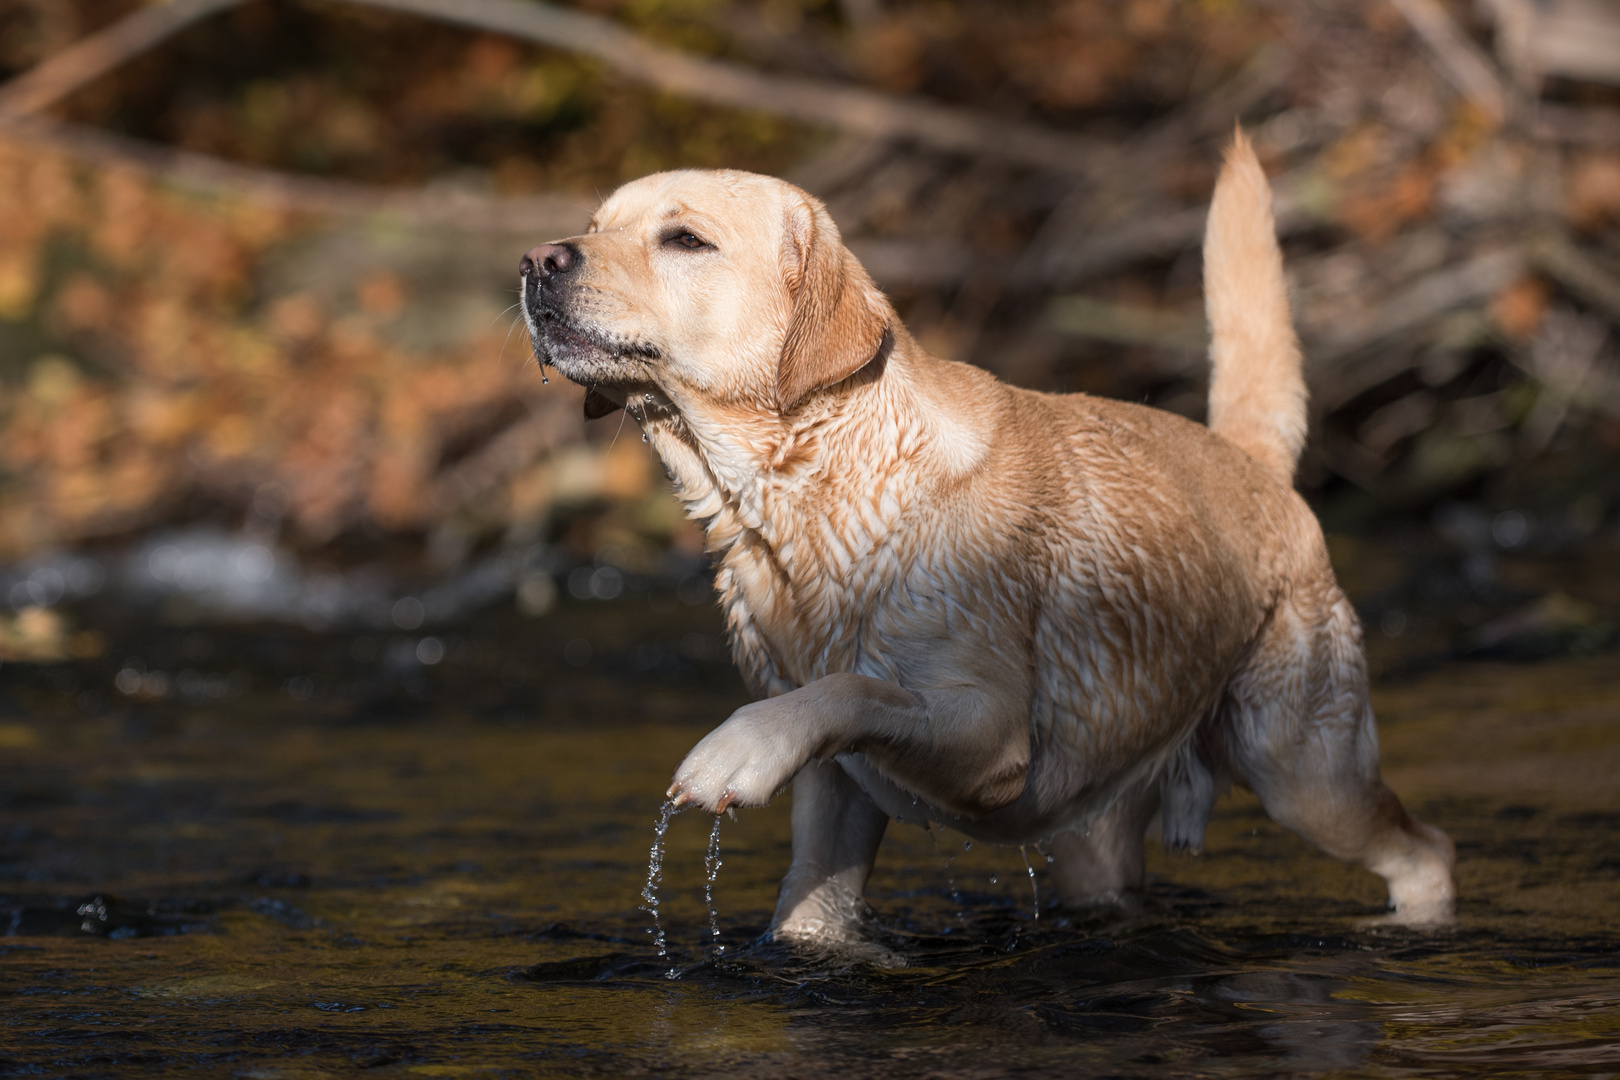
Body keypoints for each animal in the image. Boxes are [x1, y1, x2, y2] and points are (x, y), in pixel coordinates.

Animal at [518, 132, 1458, 945]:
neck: (818, 489)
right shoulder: (836, 791)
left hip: (1302, 767)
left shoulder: (989, 736)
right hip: (1099, 823)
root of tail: (1249, 458)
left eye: (684, 239)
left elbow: (855, 689)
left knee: (1427, 851)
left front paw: (735, 750)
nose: (537, 261)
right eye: (597, 224)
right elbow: (811, 906)